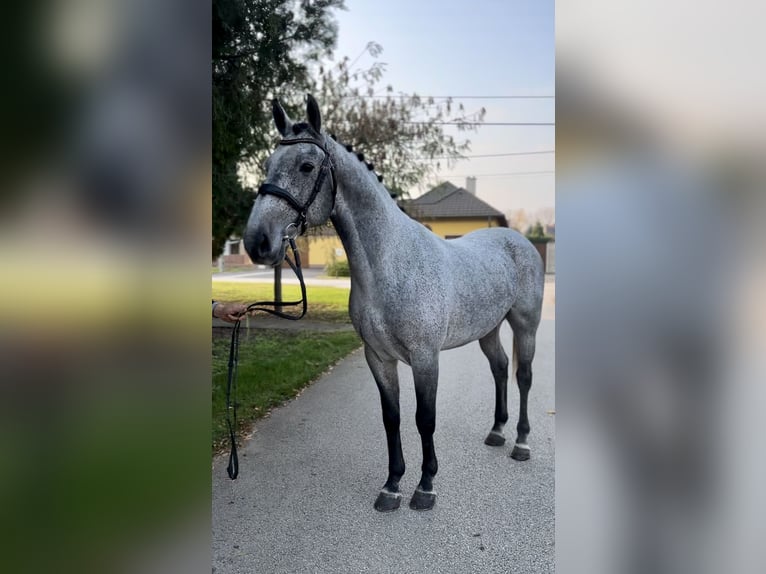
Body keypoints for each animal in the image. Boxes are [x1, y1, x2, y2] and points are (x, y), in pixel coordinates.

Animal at [246, 97, 544, 516]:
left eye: (306, 166)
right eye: (268, 164)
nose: (257, 241)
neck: (390, 263)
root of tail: (516, 240)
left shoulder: (425, 358)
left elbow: (424, 419)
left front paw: (425, 486)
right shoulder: (378, 357)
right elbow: (392, 418)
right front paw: (391, 486)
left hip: (525, 326)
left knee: (523, 376)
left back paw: (520, 442)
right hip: (488, 329)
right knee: (500, 368)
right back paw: (497, 432)